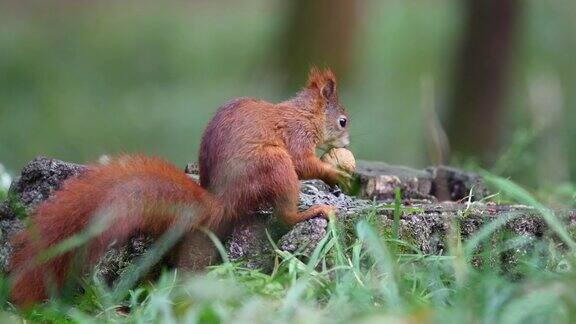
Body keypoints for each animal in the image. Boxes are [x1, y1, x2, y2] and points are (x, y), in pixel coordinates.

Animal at [7, 67, 352, 306]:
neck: (305, 113)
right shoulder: (296, 136)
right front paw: (335, 173)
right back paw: (311, 211)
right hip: (274, 165)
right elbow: (304, 163)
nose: (348, 143)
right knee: (284, 214)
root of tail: (223, 200)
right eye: (343, 121)